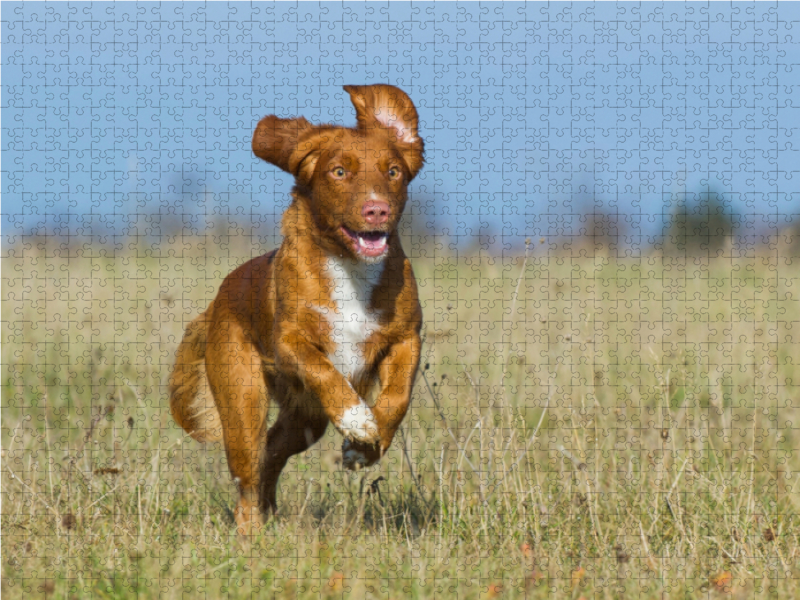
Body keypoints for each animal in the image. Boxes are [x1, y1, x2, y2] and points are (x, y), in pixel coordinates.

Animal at [169, 84, 424, 536]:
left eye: (393, 171)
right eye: (338, 172)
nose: (377, 209)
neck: (351, 269)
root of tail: (216, 302)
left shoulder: (406, 337)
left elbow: (398, 397)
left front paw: (366, 446)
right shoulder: (289, 342)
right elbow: (323, 369)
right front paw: (357, 420)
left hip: (305, 421)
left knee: (271, 452)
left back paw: (271, 511)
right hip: (243, 398)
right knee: (247, 473)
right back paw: (252, 534)